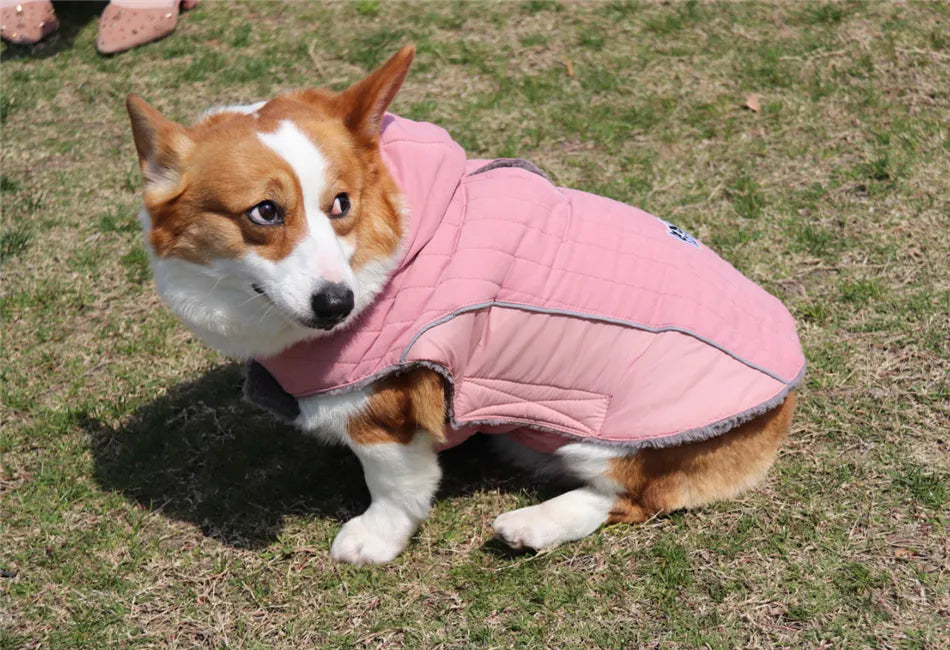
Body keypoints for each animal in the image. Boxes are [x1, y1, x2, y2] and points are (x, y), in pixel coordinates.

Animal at [126, 45, 808, 560]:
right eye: (265, 212)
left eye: (340, 204)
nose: (337, 305)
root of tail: (787, 397)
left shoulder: (383, 404)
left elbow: (394, 483)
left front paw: (372, 540)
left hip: (611, 436)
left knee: (629, 497)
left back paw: (532, 525)